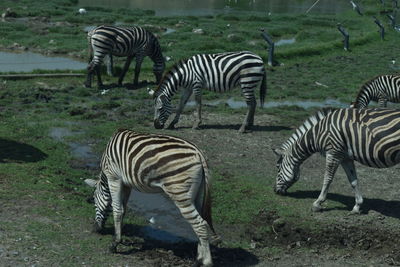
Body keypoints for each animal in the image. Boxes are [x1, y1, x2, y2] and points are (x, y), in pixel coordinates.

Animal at [84, 129, 219, 266]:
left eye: (93, 200)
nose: (95, 229)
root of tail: (199, 153)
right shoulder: (126, 184)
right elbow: (123, 210)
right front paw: (120, 236)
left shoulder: (114, 177)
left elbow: (117, 210)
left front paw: (115, 244)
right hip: (197, 195)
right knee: (200, 223)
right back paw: (199, 258)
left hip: (180, 194)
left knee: (200, 224)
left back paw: (206, 262)